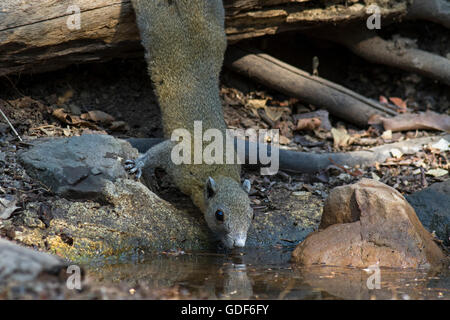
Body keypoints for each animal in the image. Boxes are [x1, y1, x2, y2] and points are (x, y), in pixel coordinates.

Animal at [125, 0, 255, 249]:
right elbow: (158, 152)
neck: (218, 171)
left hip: (214, 18)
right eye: (219, 215)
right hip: (156, 21)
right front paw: (138, 164)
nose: (239, 245)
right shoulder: (181, 157)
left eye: (251, 214)